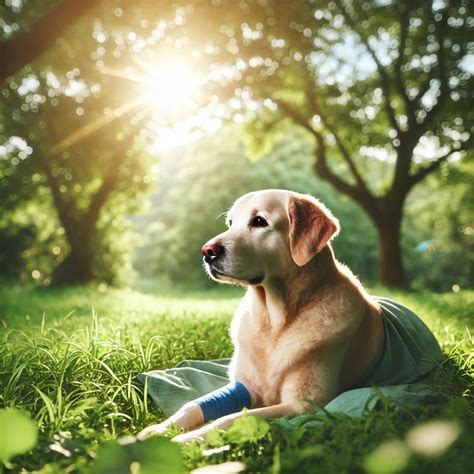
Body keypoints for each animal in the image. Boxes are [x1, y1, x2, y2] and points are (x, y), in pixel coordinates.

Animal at [139, 187, 438, 442]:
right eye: (230, 223)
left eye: (259, 221)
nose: (207, 252)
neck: (274, 321)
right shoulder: (245, 386)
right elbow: (192, 405)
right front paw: (156, 430)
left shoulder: (303, 405)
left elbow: (232, 419)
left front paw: (186, 439)